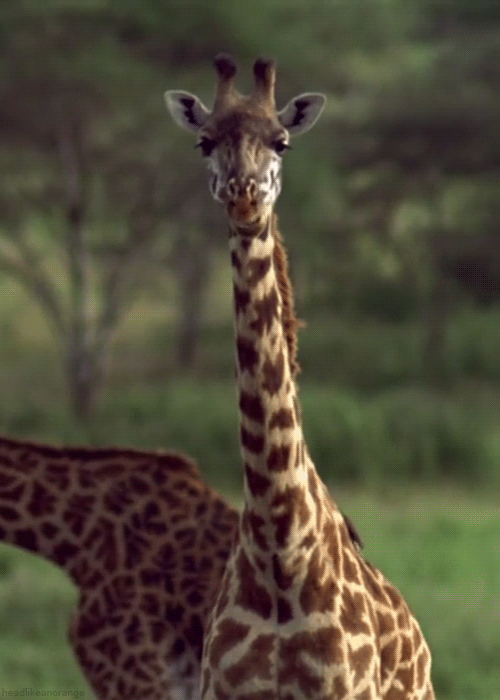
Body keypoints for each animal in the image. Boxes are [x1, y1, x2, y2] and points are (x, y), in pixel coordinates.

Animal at [165, 54, 435, 700]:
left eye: (281, 141)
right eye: (204, 140)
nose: (244, 195)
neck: (279, 543)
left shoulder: (342, 690)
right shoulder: (222, 689)